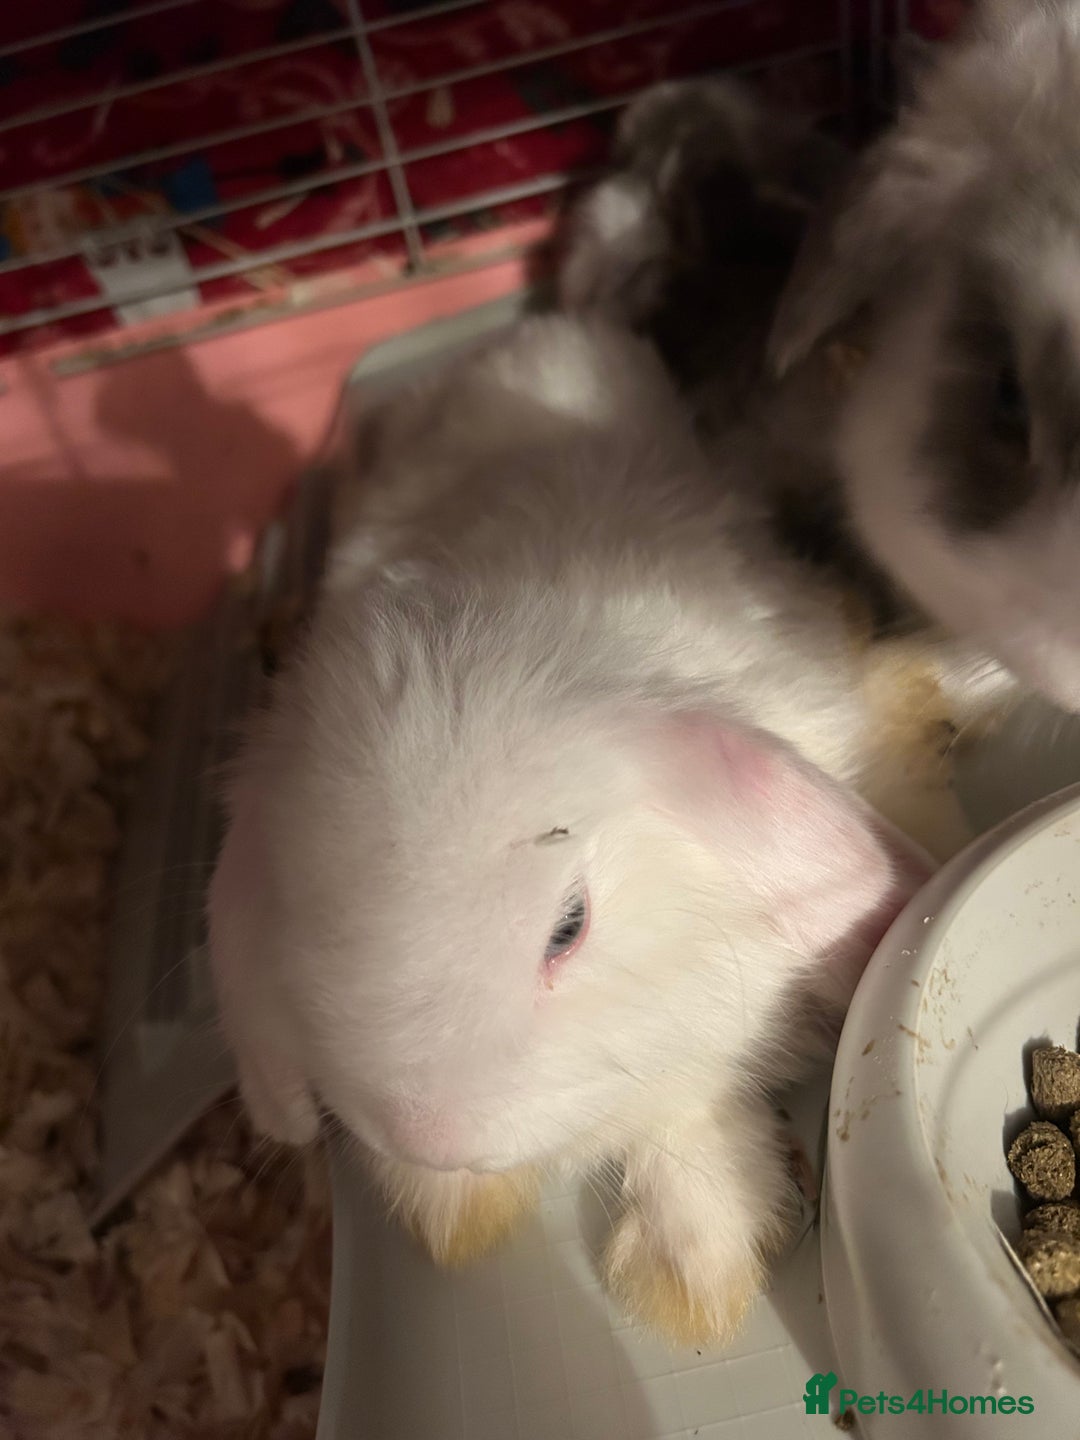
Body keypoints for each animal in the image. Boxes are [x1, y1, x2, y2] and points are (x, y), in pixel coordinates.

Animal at [208, 312, 934, 1348]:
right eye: (304, 916)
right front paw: (454, 1215)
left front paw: (693, 1285)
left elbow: (686, 1127)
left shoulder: (701, 1056)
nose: (429, 1130)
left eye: (569, 926)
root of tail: (539, 332)